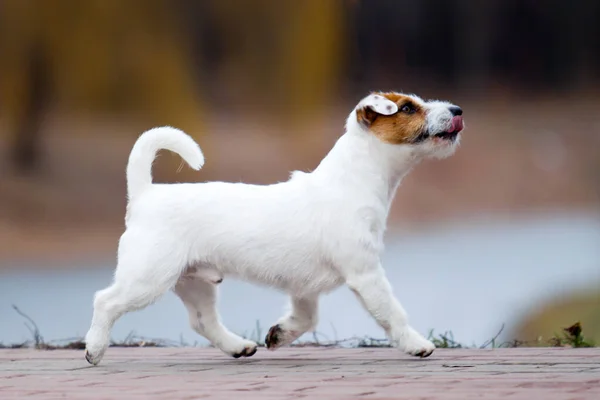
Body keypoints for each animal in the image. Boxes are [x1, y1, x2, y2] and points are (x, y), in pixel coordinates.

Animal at [84, 91, 466, 366]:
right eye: (407, 108)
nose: (457, 109)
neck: (352, 181)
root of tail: (144, 195)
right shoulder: (366, 273)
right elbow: (391, 313)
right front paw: (417, 344)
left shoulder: (304, 288)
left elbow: (306, 318)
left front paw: (279, 334)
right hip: (148, 278)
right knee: (105, 301)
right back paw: (95, 349)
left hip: (194, 282)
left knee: (203, 321)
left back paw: (239, 347)